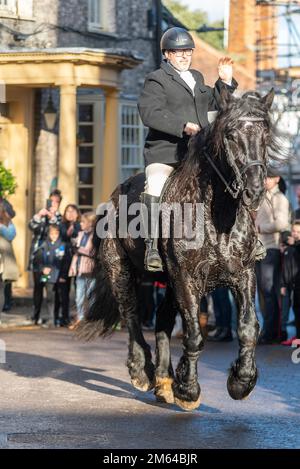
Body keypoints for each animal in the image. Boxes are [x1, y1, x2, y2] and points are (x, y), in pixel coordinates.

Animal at [76, 87, 288, 410]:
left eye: (265, 134)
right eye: (230, 134)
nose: (254, 190)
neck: (218, 214)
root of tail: (113, 196)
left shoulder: (243, 274)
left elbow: (249, 327)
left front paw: (241, 382)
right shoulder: (187, 277)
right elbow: (194, 335)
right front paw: (188, 389)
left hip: (168, 282)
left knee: (162, 321)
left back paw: (164, 382)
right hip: (121, 270)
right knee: (131, 314)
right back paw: (142, 371)